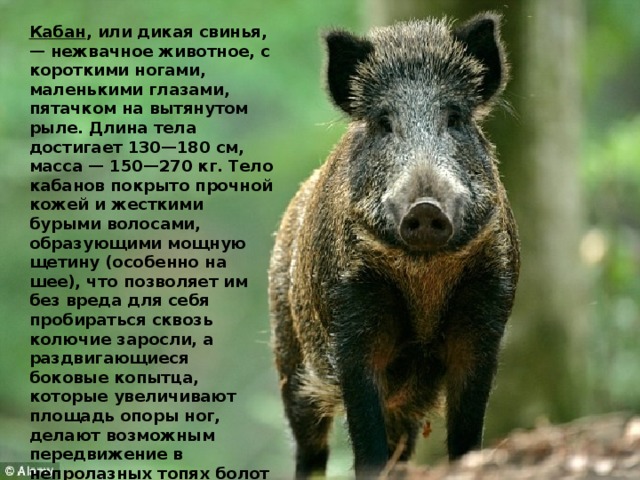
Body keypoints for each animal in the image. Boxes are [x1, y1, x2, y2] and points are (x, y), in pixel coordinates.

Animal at [269, 12, 520, 478]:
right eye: (385, 123)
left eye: (454, 118)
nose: (425, 207)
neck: (423, 274)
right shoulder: (351, 316)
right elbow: (365, 438)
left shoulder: (486, 309)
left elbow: (467, 428)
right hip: (289, 359)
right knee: (310, 445)